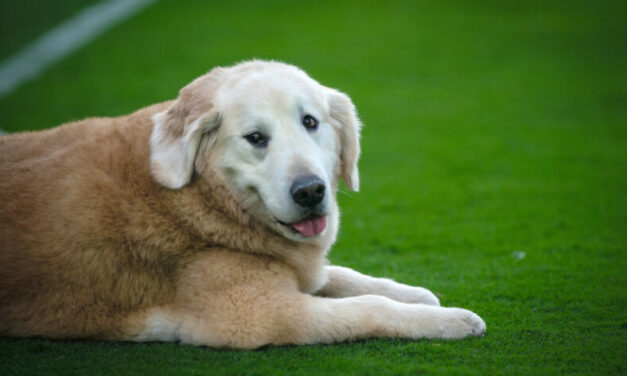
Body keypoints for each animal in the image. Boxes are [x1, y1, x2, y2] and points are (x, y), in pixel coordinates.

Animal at [0, 60, 486, 348]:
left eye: (310, 122)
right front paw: (452, 321)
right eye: (256, 138)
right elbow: (367, 308)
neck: (202, 200)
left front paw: (416, 294)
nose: (311, 191)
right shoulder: (256, 315)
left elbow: (341, 276)